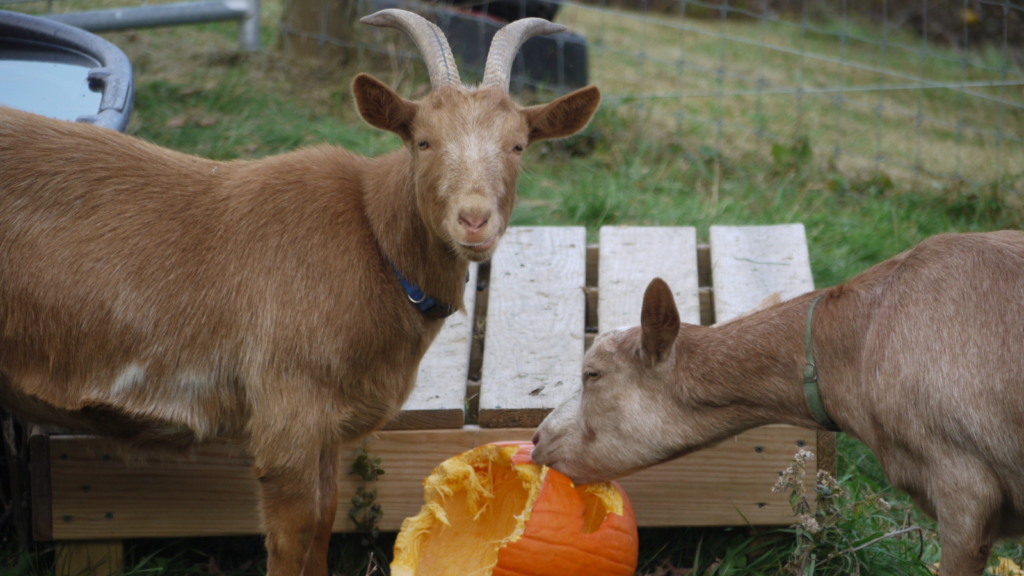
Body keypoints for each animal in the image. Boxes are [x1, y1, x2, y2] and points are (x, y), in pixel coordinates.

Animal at [0, 10, 598, 573]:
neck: (373, 239)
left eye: (517, 145)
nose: (473, 220)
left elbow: (325, 521)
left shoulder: (326, 430)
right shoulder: (286, 416)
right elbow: (296, 536)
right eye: (423, 141)